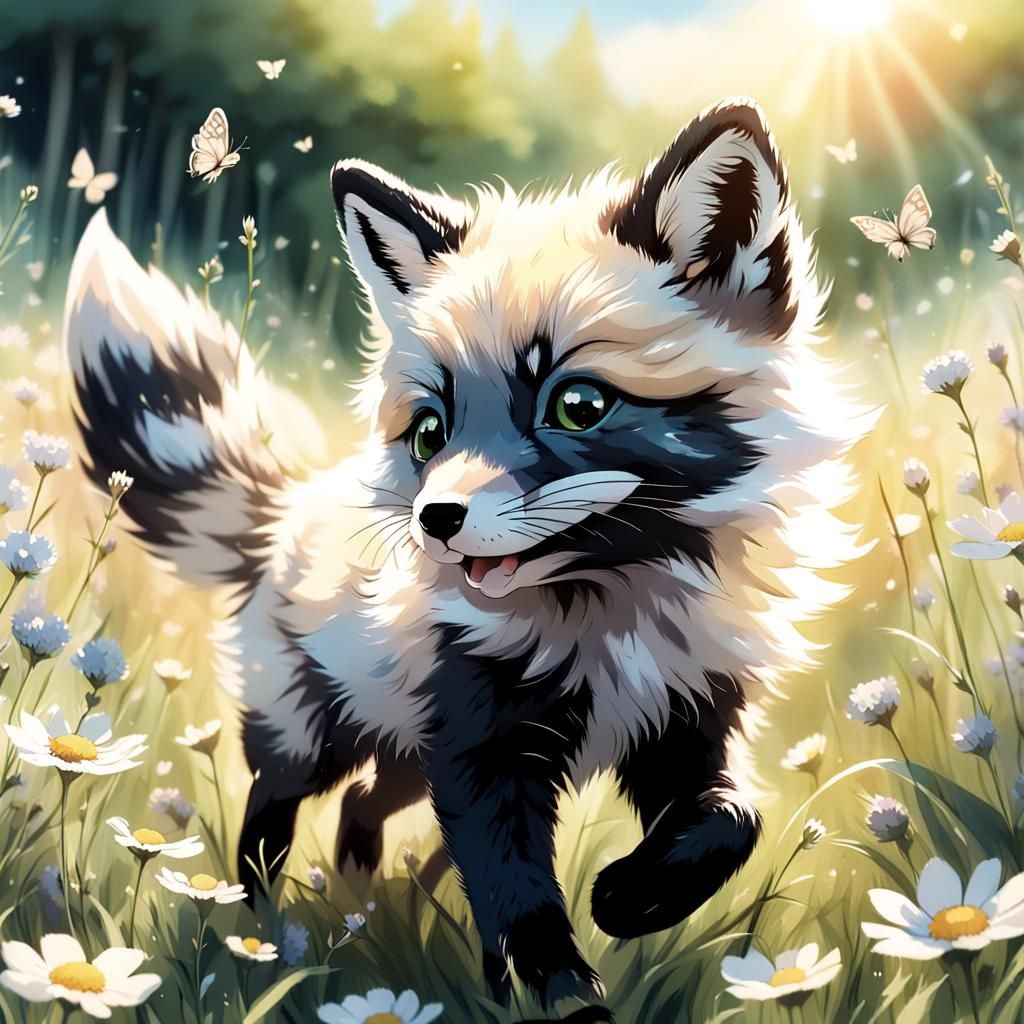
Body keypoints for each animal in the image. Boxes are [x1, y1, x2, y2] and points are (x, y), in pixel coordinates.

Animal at [66, 97, 869, 1008]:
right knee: (270, 821)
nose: (435, 519)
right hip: (313, 736)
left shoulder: (689, 720)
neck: (611, 620)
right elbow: (518, 897)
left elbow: (735, 821)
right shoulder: (481, 748)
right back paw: (261, 934)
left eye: (578, 405)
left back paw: (365, 906)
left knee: (362, 810)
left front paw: (628, 900)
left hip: (404, 753)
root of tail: (284, 510)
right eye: (430, 431)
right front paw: (563, 995)